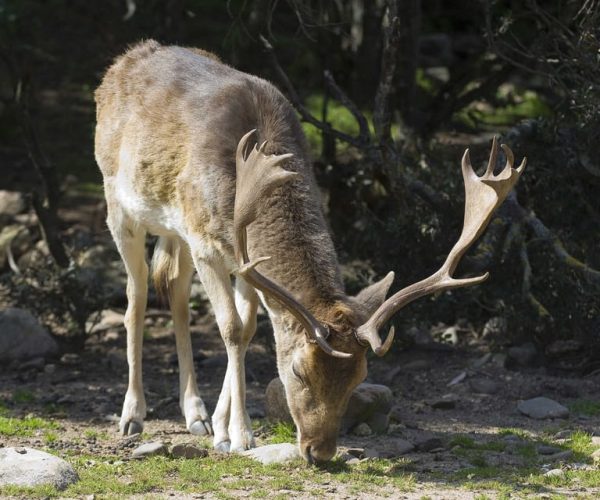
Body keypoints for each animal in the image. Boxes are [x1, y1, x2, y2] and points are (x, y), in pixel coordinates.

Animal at [95, 41, 524, 462]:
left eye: (360, 376)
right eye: (298, 372)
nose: (320, 451)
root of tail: (124, 59)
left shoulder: (242, 260)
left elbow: (248, 330)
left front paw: (219, 426)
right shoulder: (206, 243)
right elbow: (231, 329)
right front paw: (239, 437)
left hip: (175, 232)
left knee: (176, 291)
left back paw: (195, 415)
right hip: (118, 203)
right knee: (137, 295)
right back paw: (132, 415)